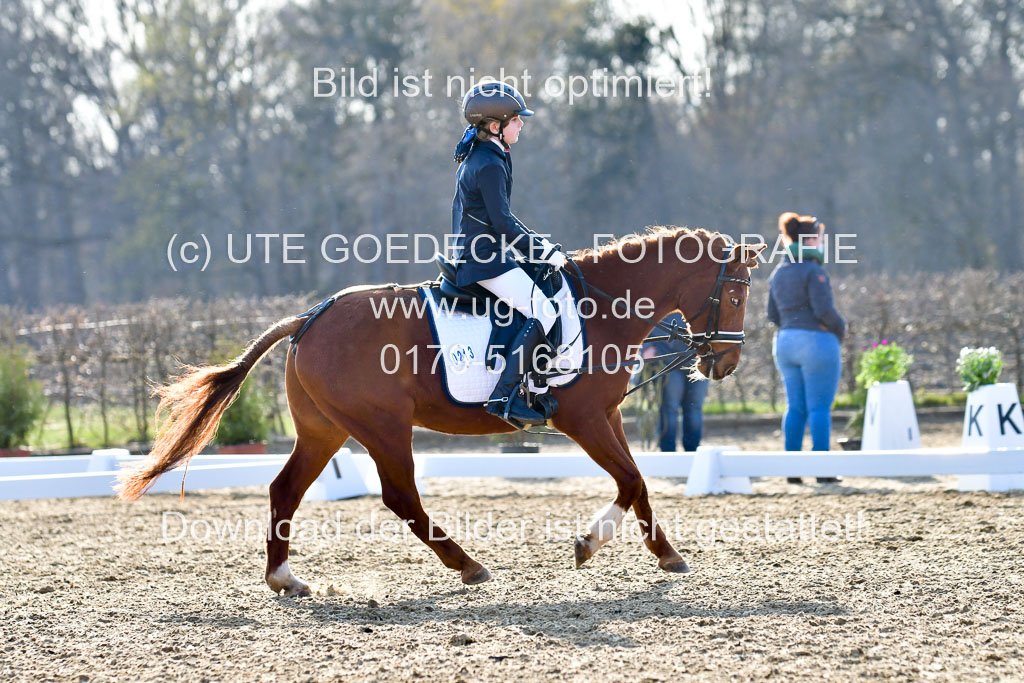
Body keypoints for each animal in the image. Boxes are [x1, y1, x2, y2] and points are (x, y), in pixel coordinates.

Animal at [117, 227, 761, 593]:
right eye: (736, 293)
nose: (724, 364)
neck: (599, 308)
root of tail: (309, 319)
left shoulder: (609, 415)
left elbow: (639, 482)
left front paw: (668, 556)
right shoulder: (578, 418)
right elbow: (629, 479)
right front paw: (589, 544)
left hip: (325, 431)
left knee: (285, 491)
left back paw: (285, 578)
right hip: (383, 428)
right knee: (401, 497)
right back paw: (468, 565)